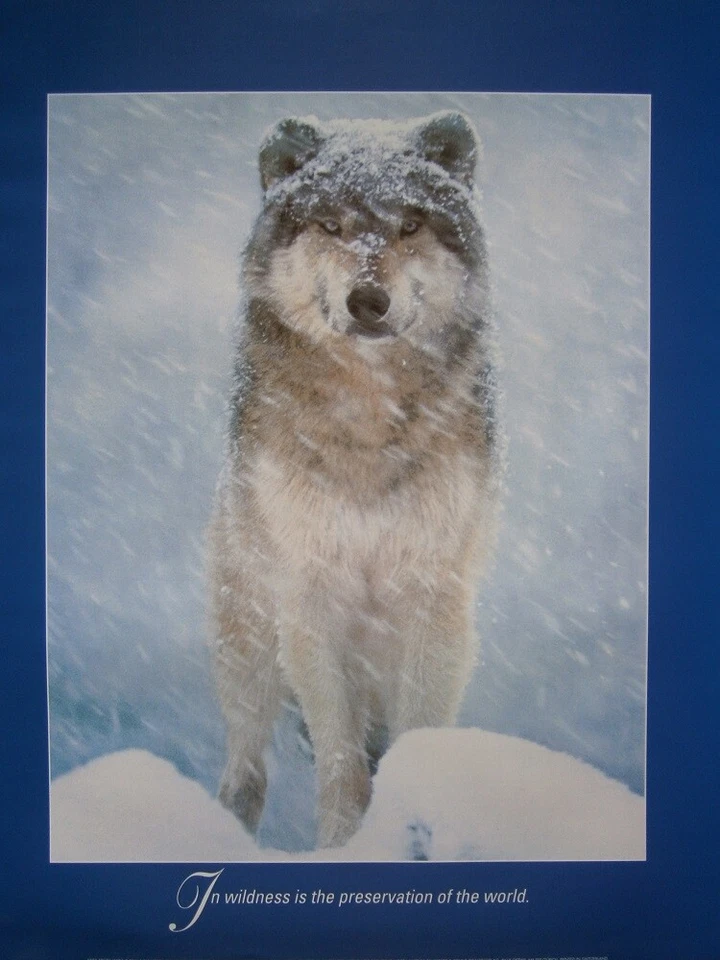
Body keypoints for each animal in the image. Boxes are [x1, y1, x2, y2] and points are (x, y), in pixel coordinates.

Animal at [209, 110, 501, 849]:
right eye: (332, 226)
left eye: (410, 226)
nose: (368, 299)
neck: (370, 412)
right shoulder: (311, 598)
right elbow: (340, 760)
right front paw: (342, 848)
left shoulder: (432, 598)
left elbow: (414, 740)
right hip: (250, 644)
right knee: (246, 765)